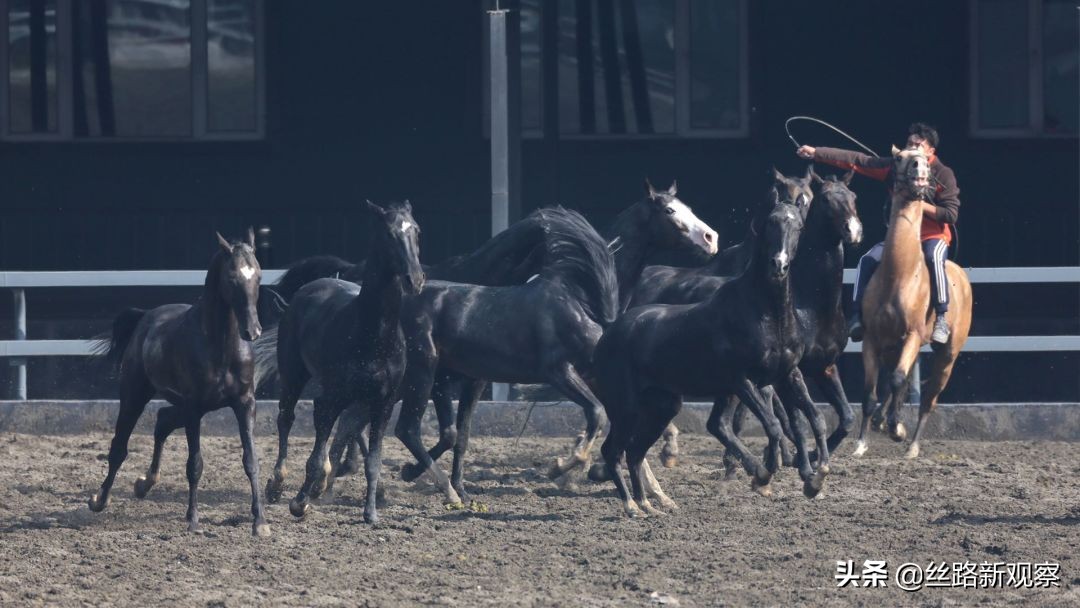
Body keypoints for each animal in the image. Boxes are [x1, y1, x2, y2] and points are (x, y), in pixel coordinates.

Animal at [88, 231, 270, 535]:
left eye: (258, 275)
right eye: (231, 278)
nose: (252, 331)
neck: (220, 347)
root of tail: (145, 318)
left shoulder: (245, 404)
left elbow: (251, 460)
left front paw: (260, 522)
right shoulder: (194, 408)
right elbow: (194, 464)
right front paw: (193, 518)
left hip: (182, 406)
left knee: (162, 420)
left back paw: (144, 483)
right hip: (135, 396)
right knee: (119, 447)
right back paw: (99, 500)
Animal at [257, 199, 425, 522]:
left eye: (417, 231)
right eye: (388, 233)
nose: (415, 279)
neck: (373, 336)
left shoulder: (383, 403)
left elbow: (373, 459)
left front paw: (371, 512)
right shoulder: (333, 395)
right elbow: (315, 454)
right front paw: (300, 501)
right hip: (294, 375)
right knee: (286, 419)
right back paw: (277, 484)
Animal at [591, 201, 825, 516]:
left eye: (798, 226)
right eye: (770, 223)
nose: (779, 264)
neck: (766, 313)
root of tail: (608, 335)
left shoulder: (787, 375)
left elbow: (813, 420)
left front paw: (816, 478)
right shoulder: (742, 380)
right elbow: (774, 425)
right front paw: (762, 476)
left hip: (662, 407)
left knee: (636, 451)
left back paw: (649, 505)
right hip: (625, 408)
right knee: (614, 450)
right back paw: (631, 506)